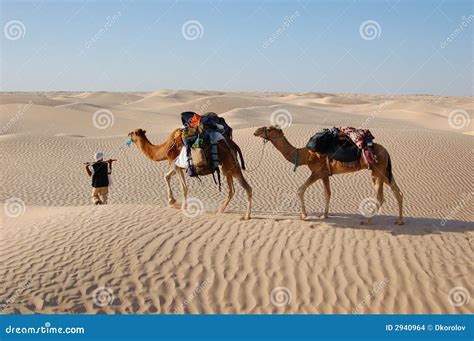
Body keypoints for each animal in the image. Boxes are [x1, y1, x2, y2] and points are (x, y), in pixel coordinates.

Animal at [252, 125, 404, 223]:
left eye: (269, 129)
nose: (256, 131)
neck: (305, 155)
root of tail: (386, 151)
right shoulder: (325, 174)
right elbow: (328, 193)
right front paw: (324, 215)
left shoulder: (317, 172)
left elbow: (300, 190)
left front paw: (304, 215)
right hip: (383, 171)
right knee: (396, 192)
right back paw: (399, 221)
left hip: (378, 169)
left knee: (380, 196)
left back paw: (367, 221)